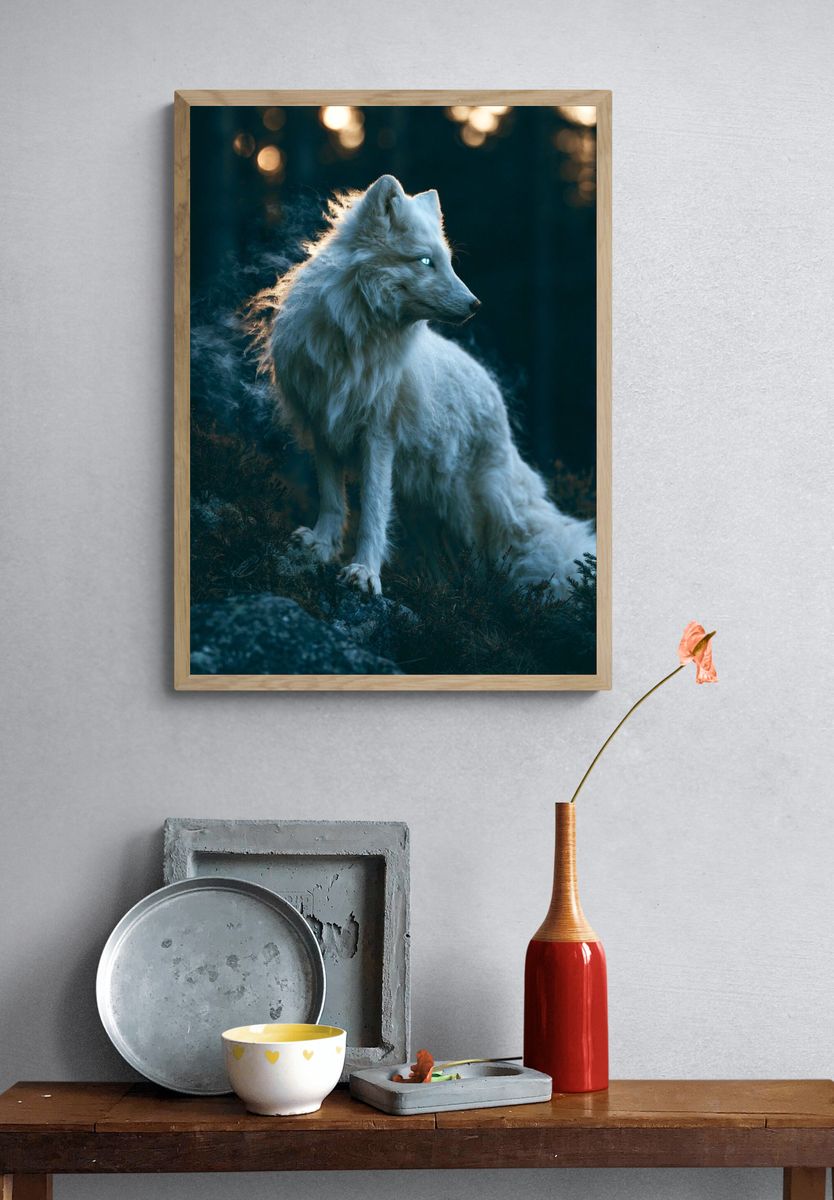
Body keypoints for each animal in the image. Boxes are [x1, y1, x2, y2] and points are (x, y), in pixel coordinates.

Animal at [249, 175, 594, 597]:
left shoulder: (378, 436)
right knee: (444, 563)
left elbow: (373, 512)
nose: (476, 305)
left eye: (447, 261)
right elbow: (333, 500)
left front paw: (364, 572)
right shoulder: (325, 426)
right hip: (426, 509)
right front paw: (322, 546)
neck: (355, 339)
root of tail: (495, 396)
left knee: (488, 564)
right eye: (426, 261)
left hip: (468, 512)